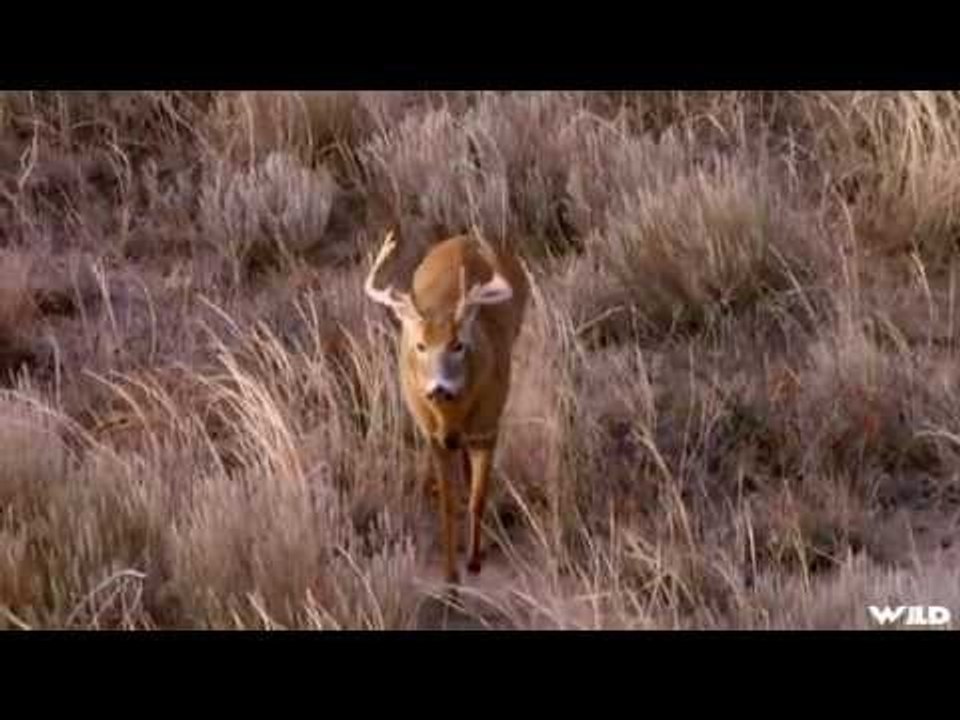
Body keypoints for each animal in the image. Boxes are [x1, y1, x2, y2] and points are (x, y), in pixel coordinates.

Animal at [364, 228, 530, 590]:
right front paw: (450, 576)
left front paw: (475, 560)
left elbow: (479, 498)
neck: (451, 417)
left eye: (458, 345)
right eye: (420, 346)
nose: (439, 387)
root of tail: (459, 239)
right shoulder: (433, 437)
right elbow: (447, 505)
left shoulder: (489, 426)